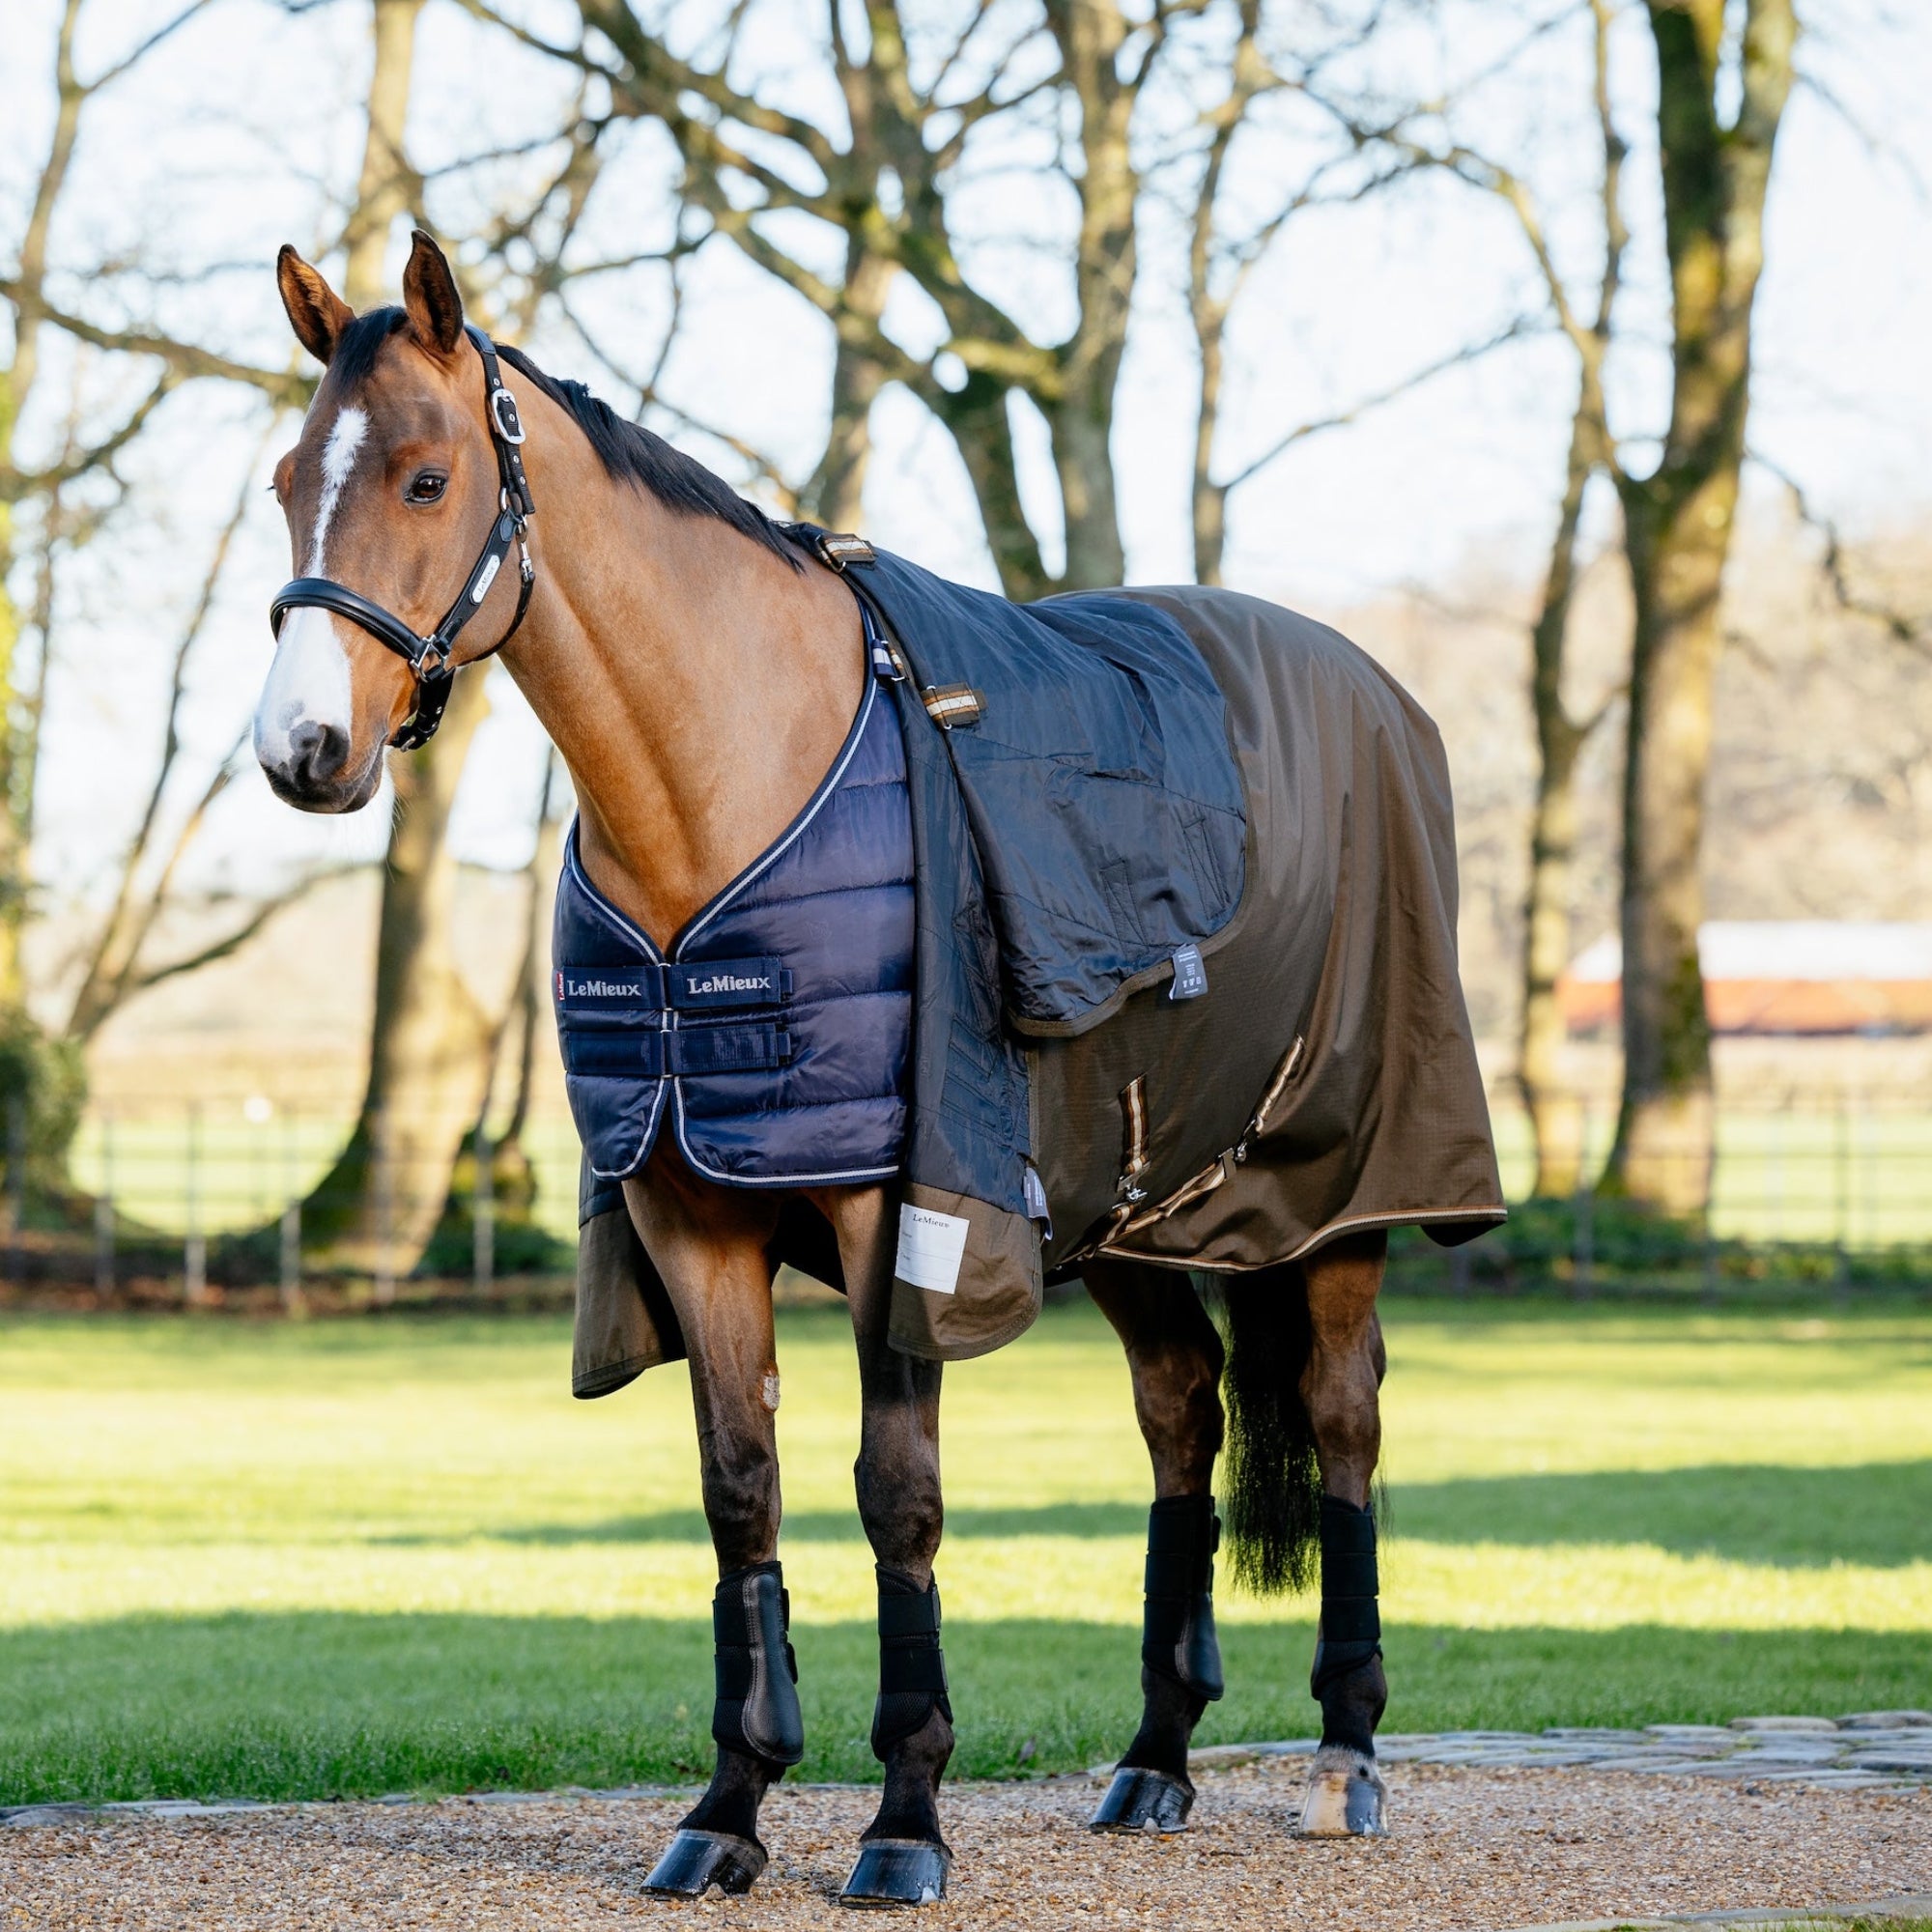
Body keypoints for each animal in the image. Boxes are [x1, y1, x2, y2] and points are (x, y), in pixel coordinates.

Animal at [254, 228, 1495, 1906]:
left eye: (429, 477)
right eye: (283, 479)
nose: (302, 749)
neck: (726, 787)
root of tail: (1375, 691)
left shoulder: (899, 1210)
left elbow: (895, 1497)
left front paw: (904, 1818)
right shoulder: (687, 1211)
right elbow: (741, 1492)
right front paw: (728, 1805)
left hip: (1341, 1202)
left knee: (1347, 1422)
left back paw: (1346, 1756)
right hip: (1128, 1215)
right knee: (1184, 1413)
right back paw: (1154, 1760)